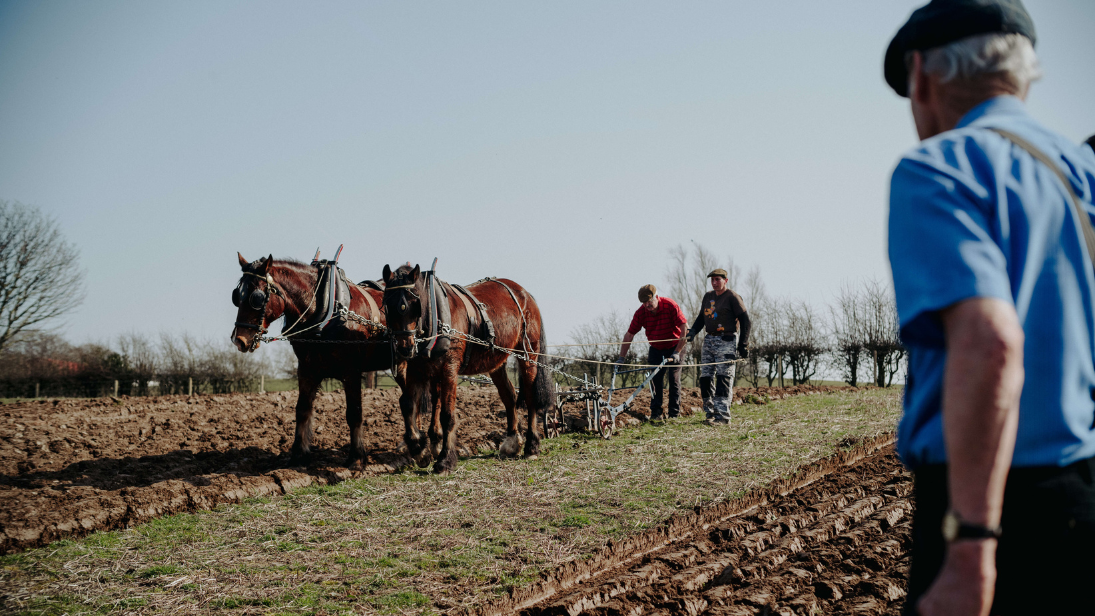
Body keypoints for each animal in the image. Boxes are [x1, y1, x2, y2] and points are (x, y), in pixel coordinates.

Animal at [229, 252, 398, 470]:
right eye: (236, 296)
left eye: (256, 297)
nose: (239, 340)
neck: (326, 312)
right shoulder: (307, 370)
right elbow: (302, 410)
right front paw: (298, 455)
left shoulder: (351, 372)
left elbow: (354, 413)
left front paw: (356, 457)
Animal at [385, 262, 556, 474]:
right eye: (387, 305)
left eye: (414, 303)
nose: (405, 347)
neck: (435, 317)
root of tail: (524, 293)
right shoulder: (416, 370)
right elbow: (407, 404)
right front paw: (419, 449)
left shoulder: (449, 369)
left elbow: (447, 415)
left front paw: (445, 460)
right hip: (496, 361)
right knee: (509, 396)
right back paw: (512, 442)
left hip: (528, 355)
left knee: (531, 397)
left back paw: (532, 446)